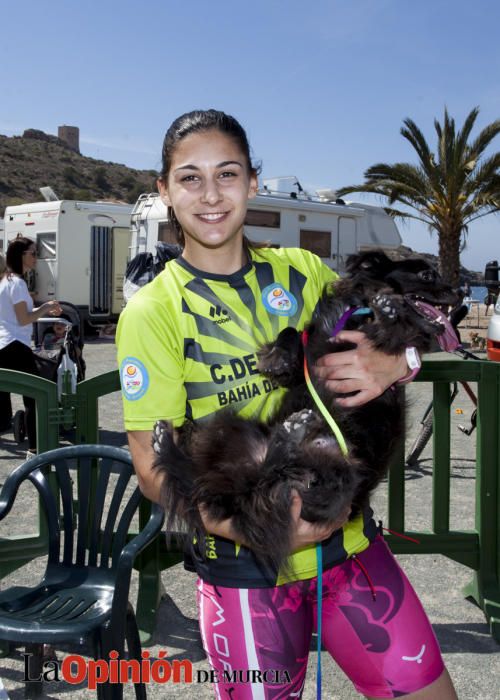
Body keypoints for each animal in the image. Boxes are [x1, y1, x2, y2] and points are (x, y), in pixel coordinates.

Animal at [153, 249, 460, 572]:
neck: (357, 312)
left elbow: (395, 332)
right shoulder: (303, 366)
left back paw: (285, 436)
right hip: (231, 429)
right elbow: (290, 333)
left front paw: (389, 311)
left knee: (265, 475)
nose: (460, 291)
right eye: (427, 275)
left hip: (336, 477)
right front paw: (277, 357)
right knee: (213, 475)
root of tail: (234, 491)